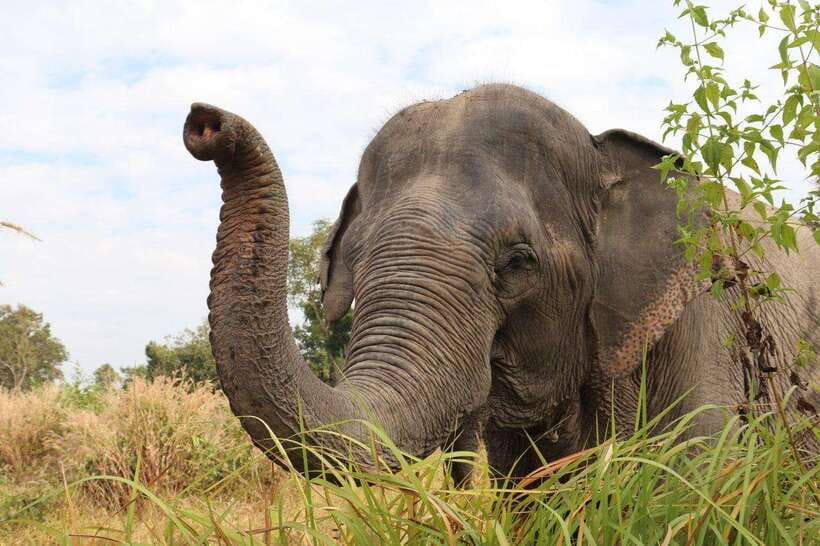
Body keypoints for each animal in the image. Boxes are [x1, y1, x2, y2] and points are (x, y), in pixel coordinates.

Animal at [183, 83, 819, 482]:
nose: (205, 124)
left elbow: (697, 466)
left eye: (517, 262)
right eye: (355, 261)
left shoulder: (701, 322)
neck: (605, 154)